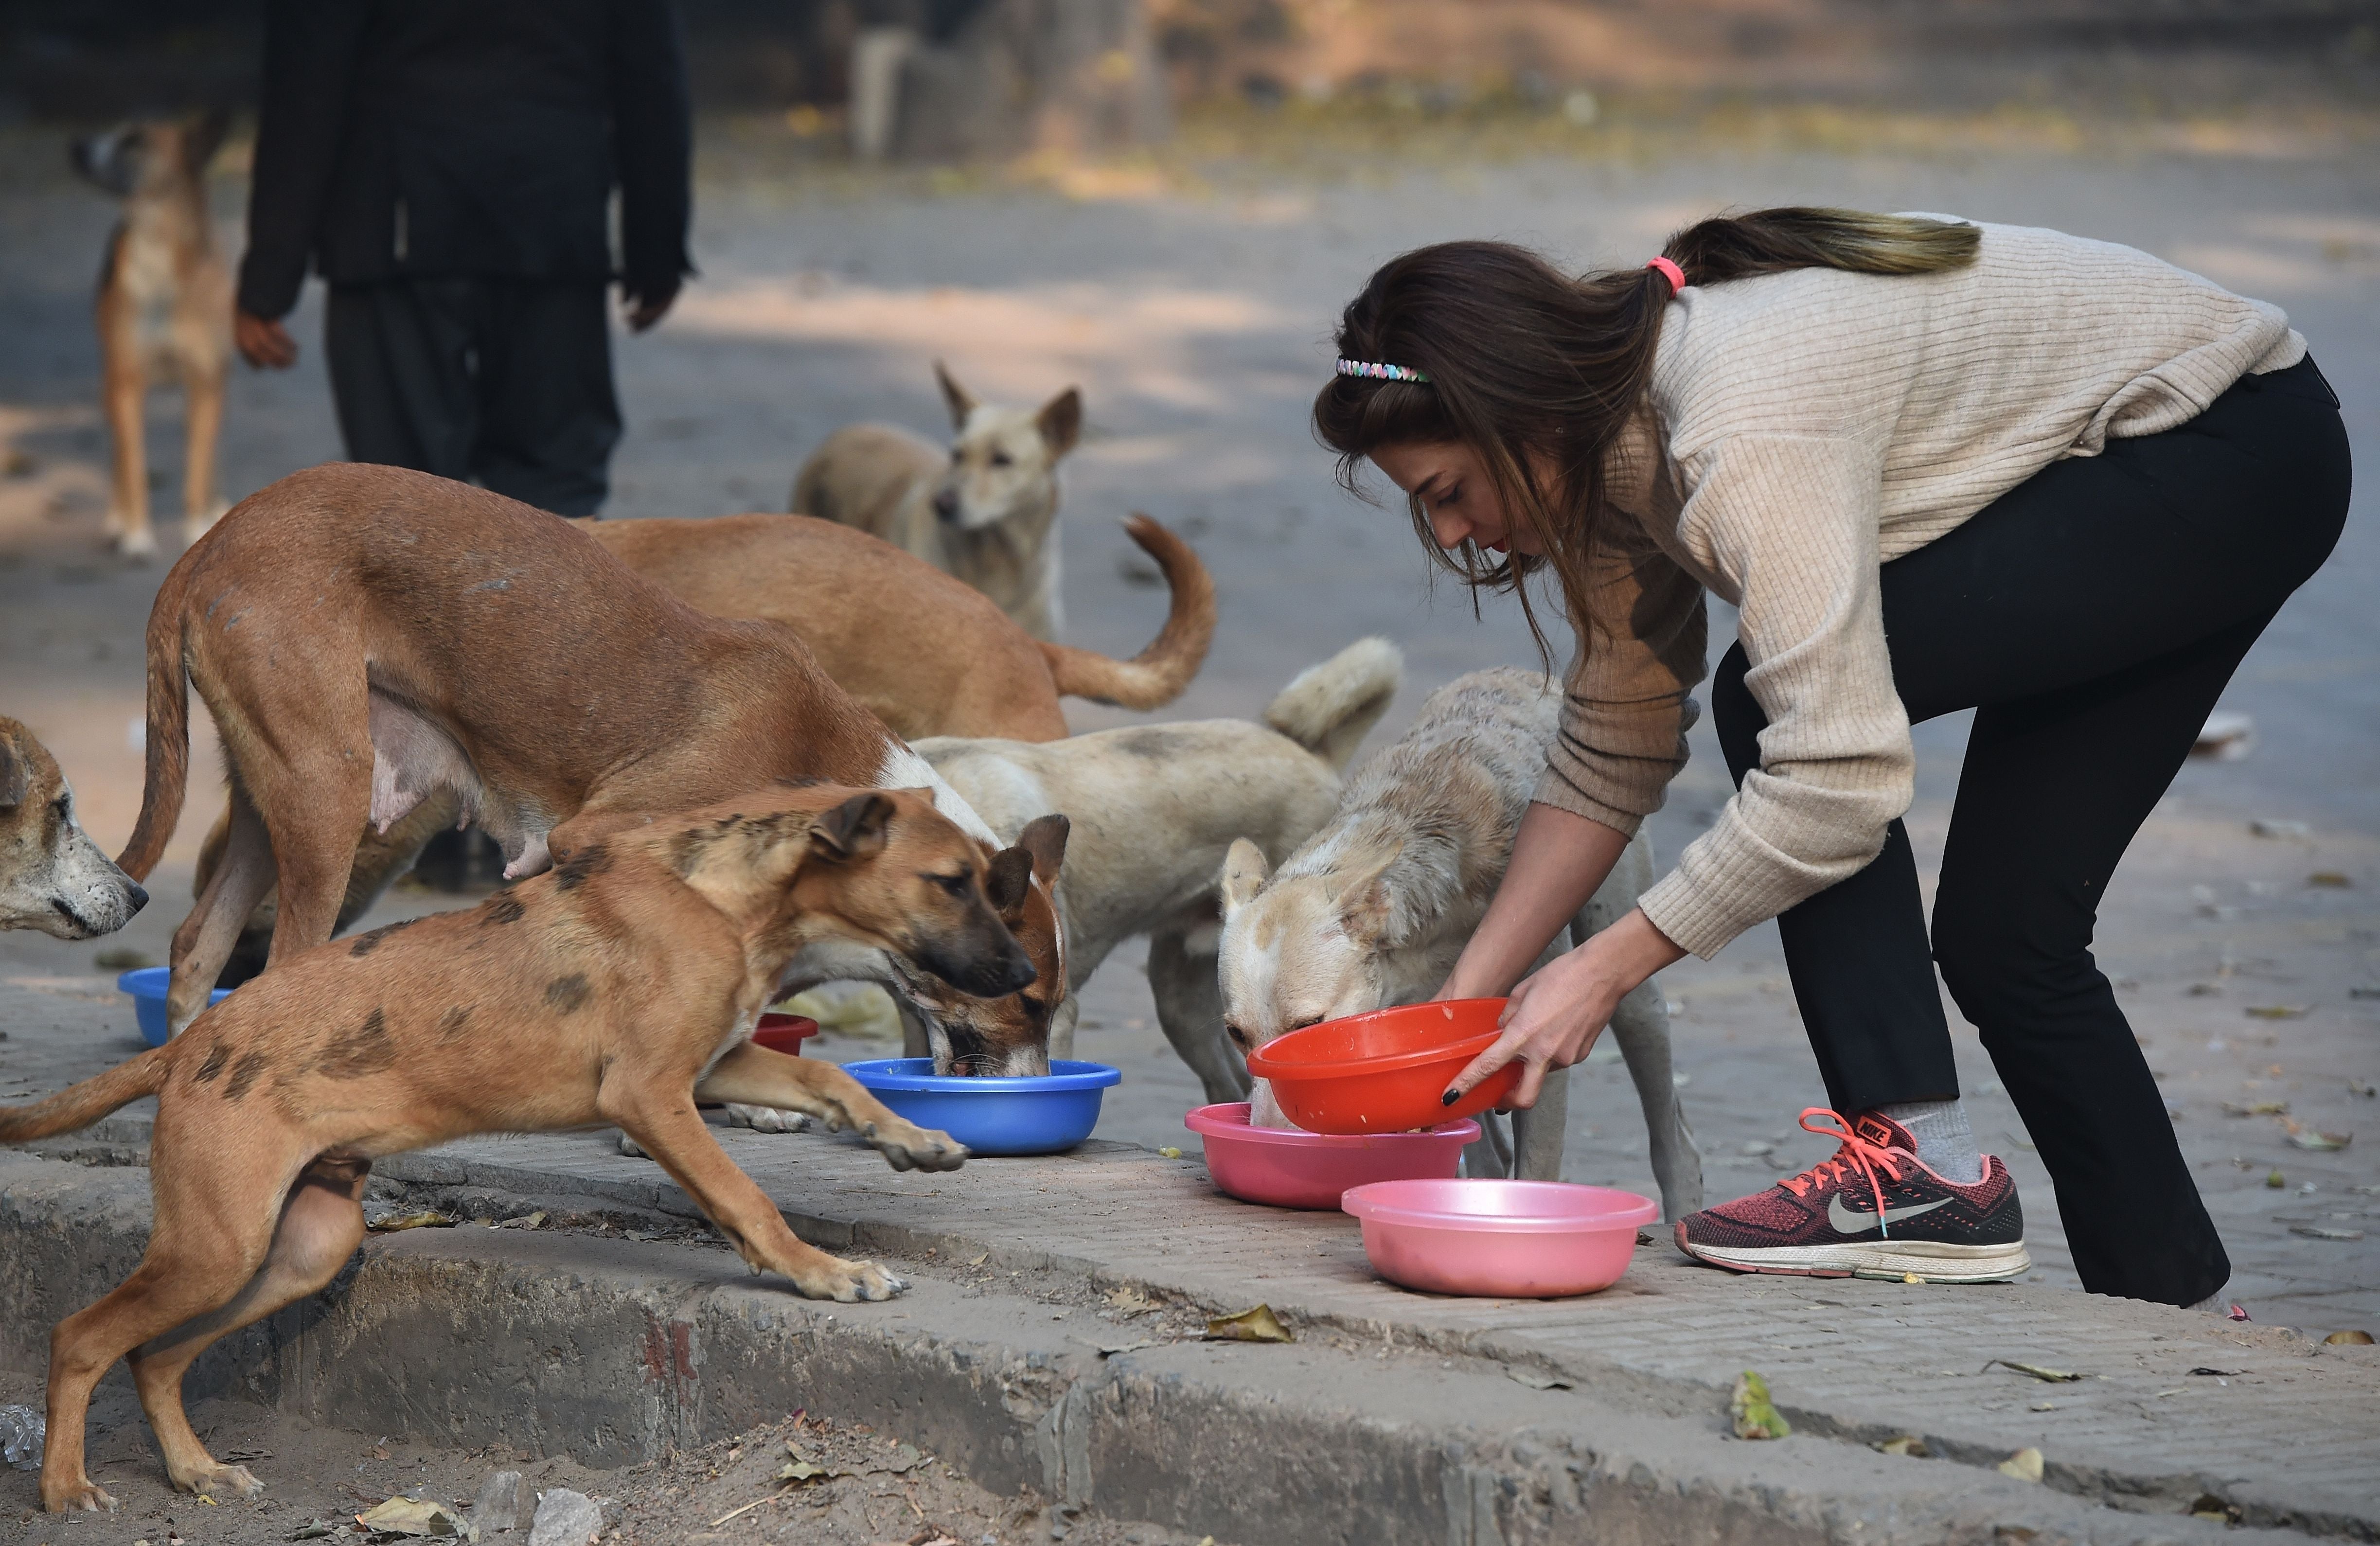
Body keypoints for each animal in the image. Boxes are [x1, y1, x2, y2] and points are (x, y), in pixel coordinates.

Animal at [73, 113, 233, 559]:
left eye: (135, 141)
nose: (77, 148)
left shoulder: (206, 381)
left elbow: (199, 467)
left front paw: (199, 524)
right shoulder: (128, 381)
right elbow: (133, 465)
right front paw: (136, 535)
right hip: (110, 382)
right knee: (117, 455)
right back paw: (116, 518)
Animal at [1218, 661, 1704, 1218]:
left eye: (1308, 1028)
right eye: (1236, 1034)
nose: (1270, 1143)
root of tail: (1518, 672)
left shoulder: (1538, 1043)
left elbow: (1536, 1167)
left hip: (1631, 988)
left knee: (1676, 1138)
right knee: (1489, 1151)